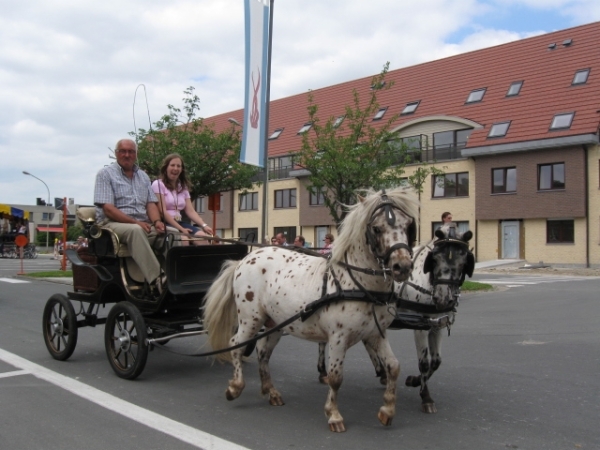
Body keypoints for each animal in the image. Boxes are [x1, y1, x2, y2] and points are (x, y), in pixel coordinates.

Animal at [202, 187, 418, 432]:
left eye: (407, 225)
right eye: (377, 228)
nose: (403, 267)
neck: (358, 283)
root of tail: (245, 259)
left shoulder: (375, 334)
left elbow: (393, 367)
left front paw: (387, 411)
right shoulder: (338, 338)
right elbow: (335, 377)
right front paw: (334, 415)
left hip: (275, 324)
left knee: (263, 353)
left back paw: (271, 391)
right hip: (250, 319)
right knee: (236, 346)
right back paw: (235, 387)